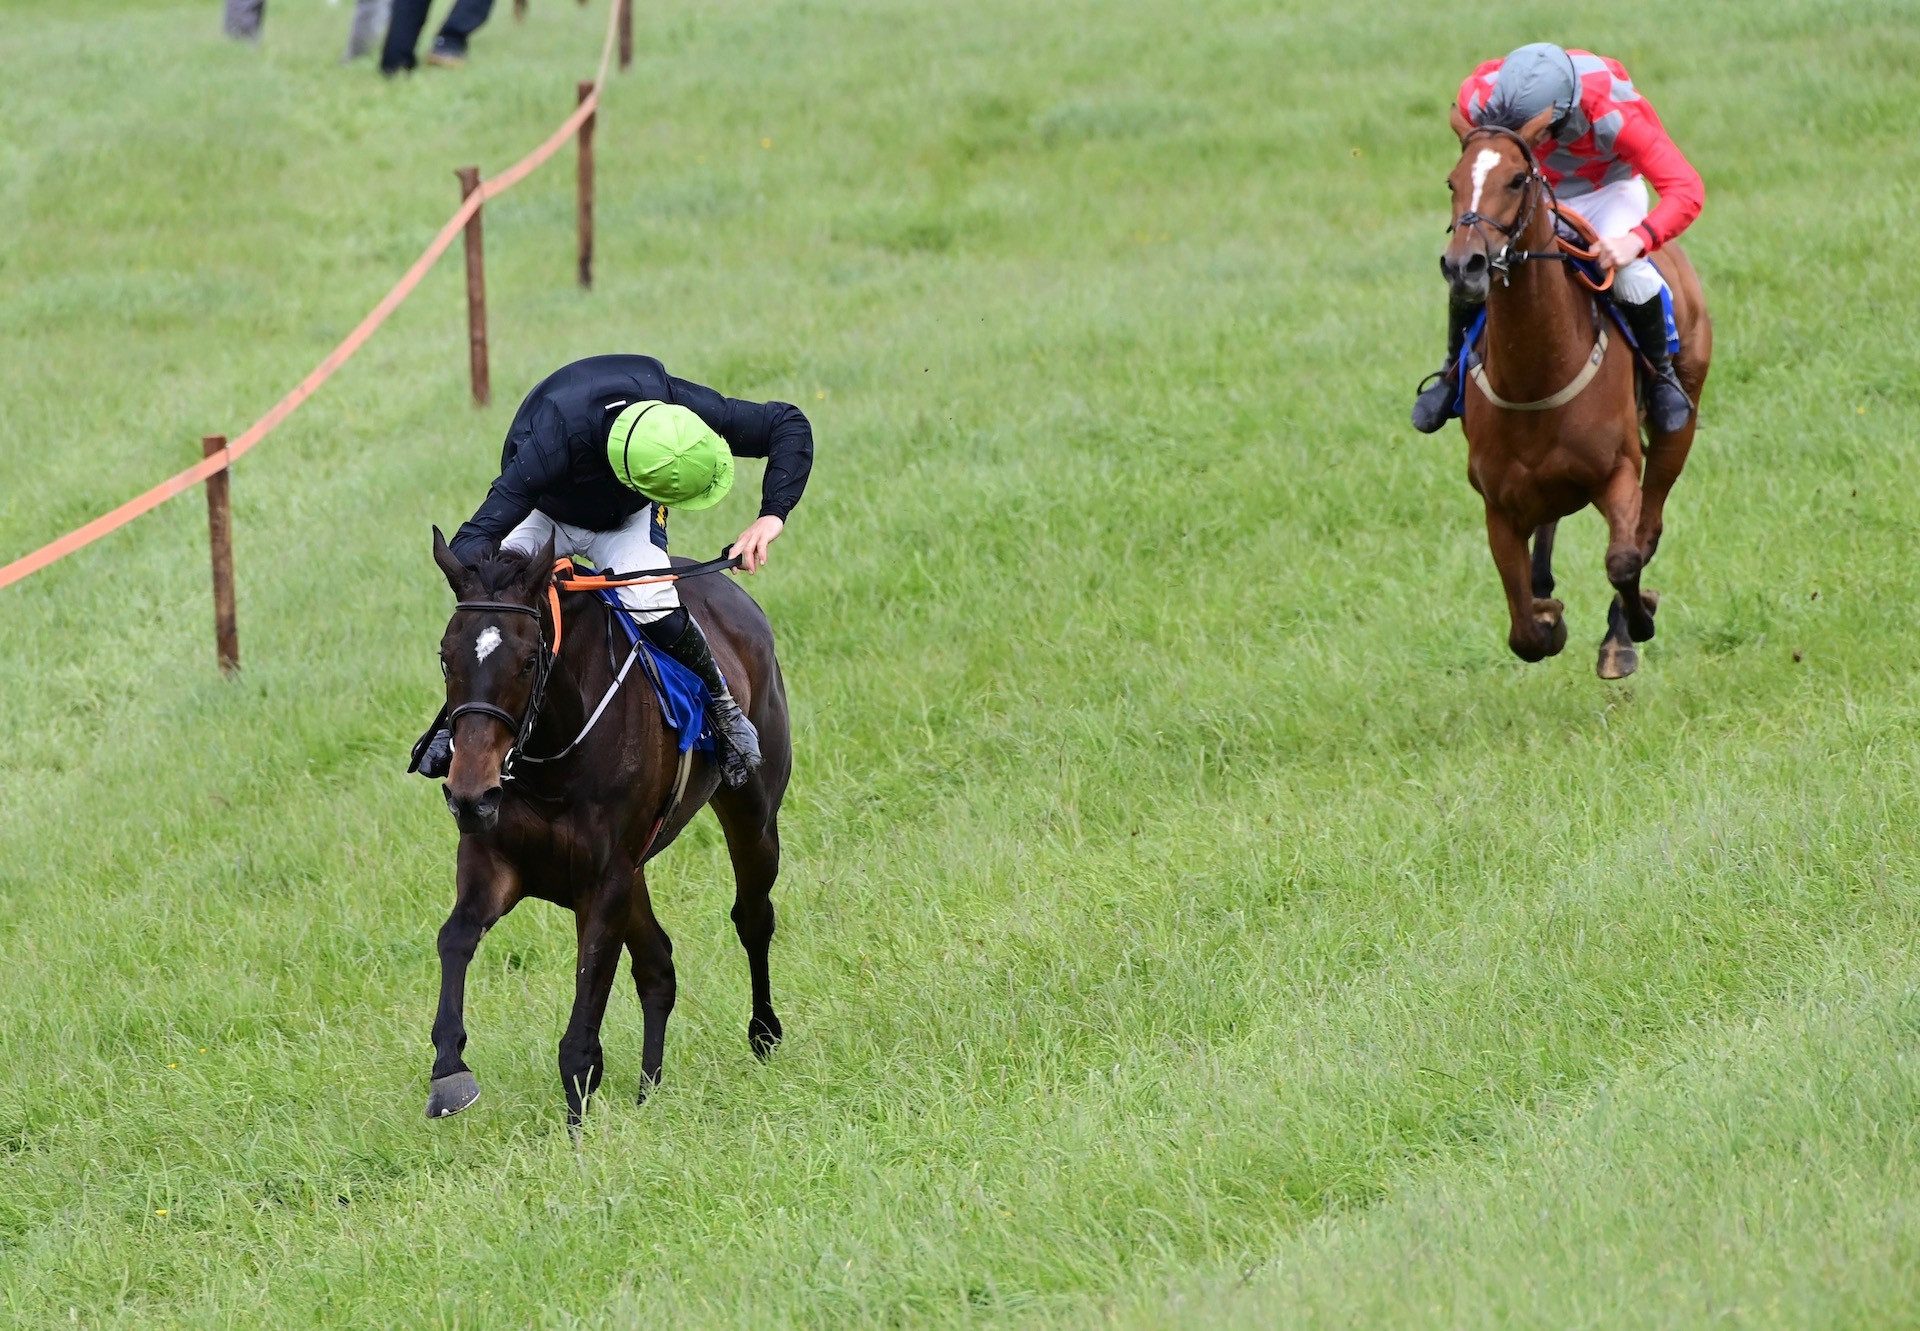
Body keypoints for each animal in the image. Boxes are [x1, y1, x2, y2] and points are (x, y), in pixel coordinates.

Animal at [430, 526, 794, 1121]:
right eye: (446, 656)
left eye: (528, 661)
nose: (469, 795)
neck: (551, 760)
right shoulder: (497, 862)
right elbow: (455, 937)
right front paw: (448, 1071)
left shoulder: (603, 883)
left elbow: (581, 1033)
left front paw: (577, 1130)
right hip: (638, 868)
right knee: (658, 967)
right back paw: (649, 1090)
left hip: (753, 815)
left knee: (752, 917)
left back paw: (763, 1033)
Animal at [1443, 103, 1712, 676]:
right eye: (1452, 182)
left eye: (1516, 179)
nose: (1462, 265)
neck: (1535, 374)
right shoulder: (1498, 505)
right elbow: (1524, 628)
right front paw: (1547, 616)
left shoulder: (1618, 472)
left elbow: (1625, 559)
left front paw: (1630, 629)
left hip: (1680, 422)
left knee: (1649, 526)